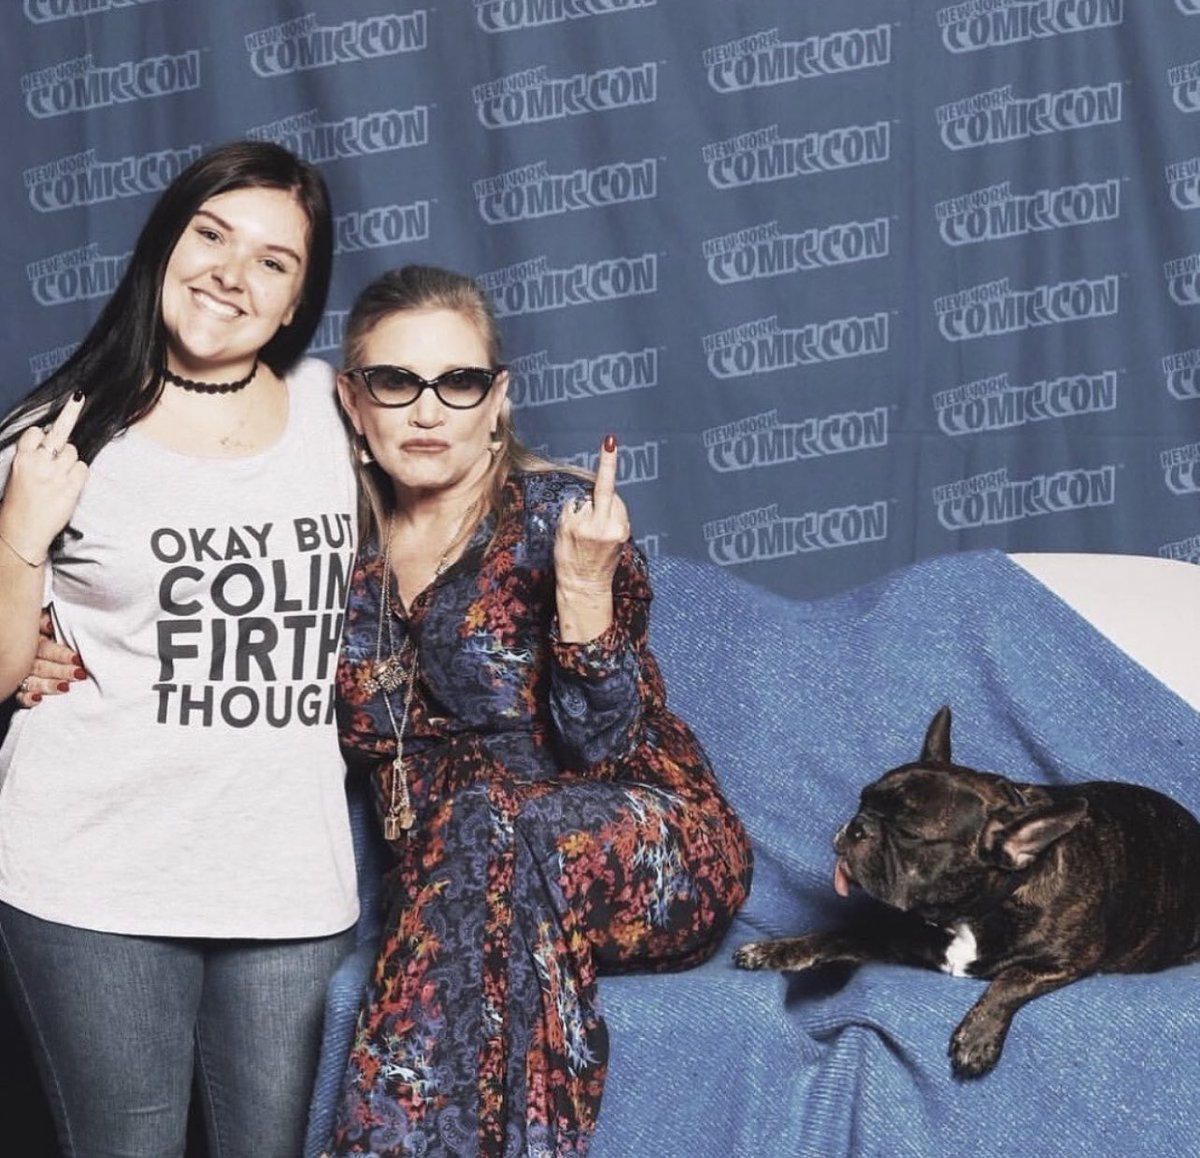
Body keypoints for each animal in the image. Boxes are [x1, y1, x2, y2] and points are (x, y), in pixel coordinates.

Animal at [733, 706, 1200, 1077]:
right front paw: (775, 950)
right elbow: (832, 936)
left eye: (909, 834)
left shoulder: (1066, 961)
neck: (971, 914)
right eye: (862, 800)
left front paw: (977, 1038)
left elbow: (1012, 978)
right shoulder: (893, 936)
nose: (857, 826)